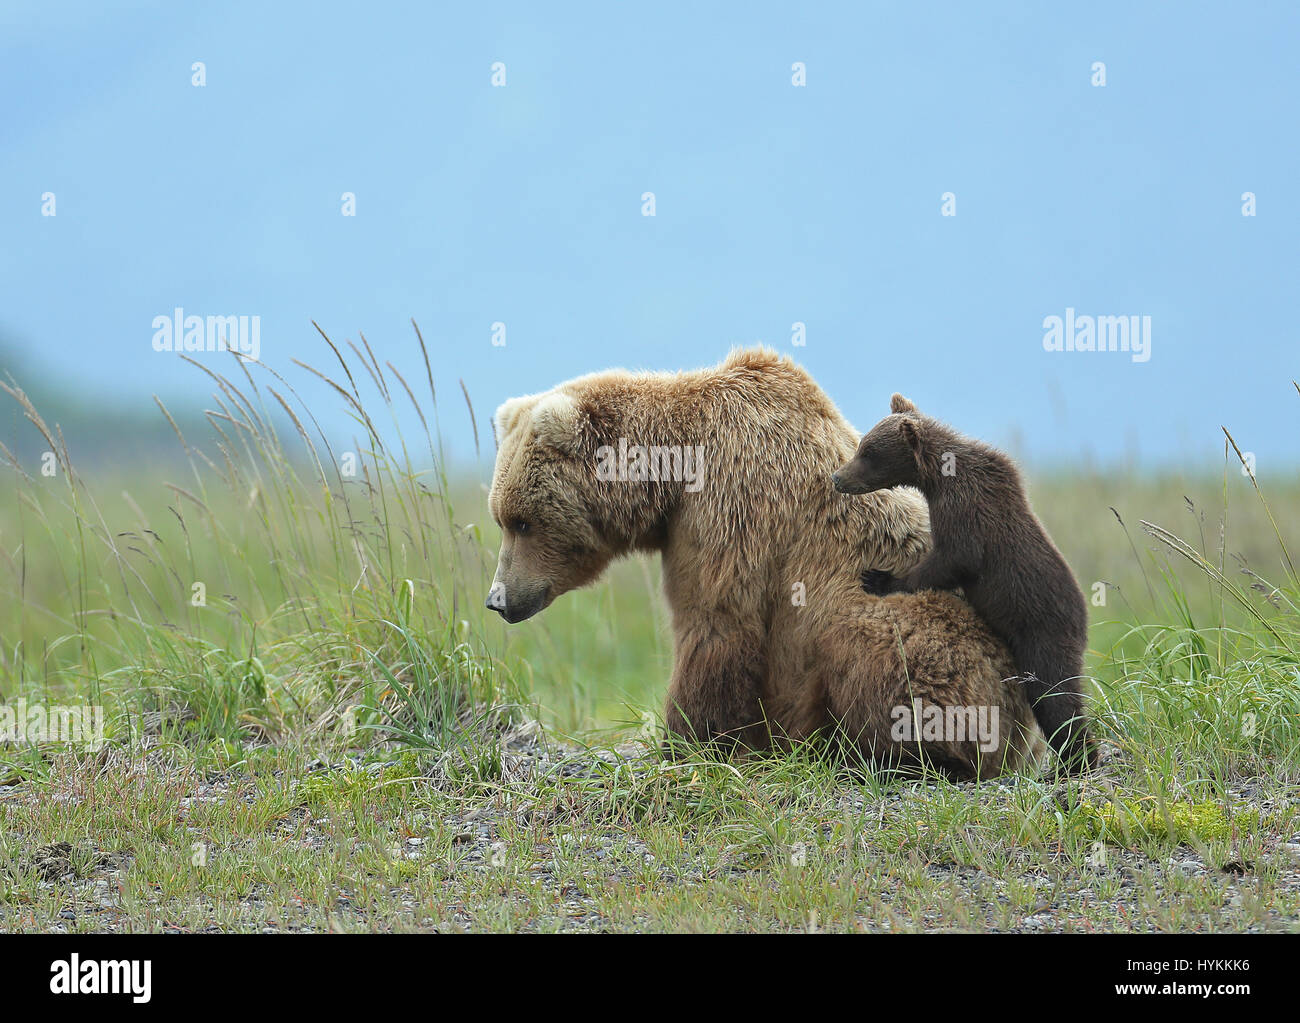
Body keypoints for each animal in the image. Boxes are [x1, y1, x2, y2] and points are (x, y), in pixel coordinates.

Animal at [483, 345, 1040, 774]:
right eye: (502, 517)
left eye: (523, 521)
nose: (497, 600)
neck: (672, 476)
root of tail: (1022, 723)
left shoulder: (730, 508)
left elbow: (717, 624)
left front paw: (686, 741)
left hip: (920, 628)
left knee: (880, 649)